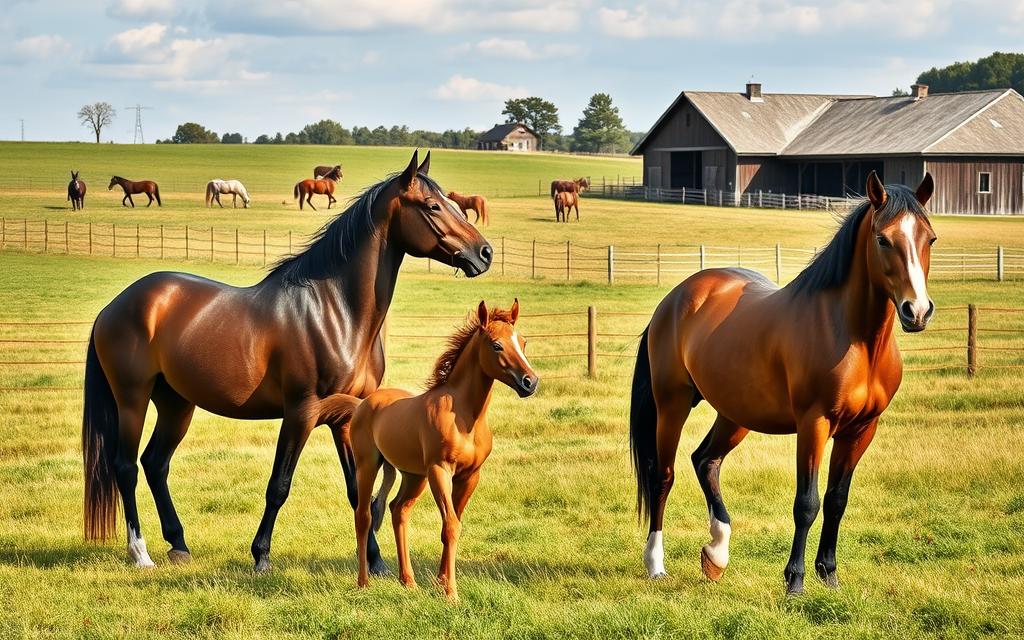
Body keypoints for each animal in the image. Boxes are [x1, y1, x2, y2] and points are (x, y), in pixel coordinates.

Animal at [83, 150, 491, 573]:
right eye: (432, 206)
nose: (485, 253)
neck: (336, 310)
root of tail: (115, 306)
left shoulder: (347, 419)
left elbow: (356, 490)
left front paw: (376, 563)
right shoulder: (301, 412)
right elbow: (279, 485)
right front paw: (261, 555)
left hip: (176, 403)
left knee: (155, 463)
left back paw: (178, 543)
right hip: (132, 399)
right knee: (126, 467)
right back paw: (141, 553)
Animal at [352, 299, 540, 598]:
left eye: (523, 342)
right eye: (496, 345)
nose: (530, 382)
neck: (464, 418)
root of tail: (364, 404)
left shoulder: (470, 476)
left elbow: (453, 523)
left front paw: (440, 582)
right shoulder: (440, 471)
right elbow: (451, 525)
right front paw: (451, 592)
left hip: (413, 476)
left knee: (398, 510)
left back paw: (408, 581)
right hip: (368, 466)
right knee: (364, 516)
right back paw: (363, 582)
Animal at [626, 171, 933, 593]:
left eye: (929, 238)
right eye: (883, 239)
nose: (916, 311)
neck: (855, 339)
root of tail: (675, 298)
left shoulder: (861, 430)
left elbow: (837, 500)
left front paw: (829, 575)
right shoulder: (814, 424)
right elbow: (807, 503)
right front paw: (795, 581)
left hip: (735, 413)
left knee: (706, 460)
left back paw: (717, 552)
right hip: (672, 403)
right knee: (664, 475)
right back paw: (656, 563)